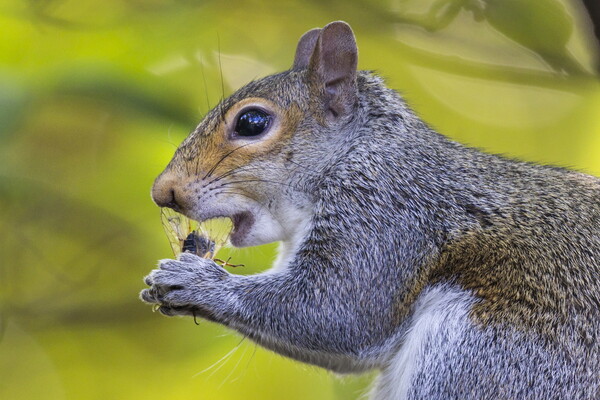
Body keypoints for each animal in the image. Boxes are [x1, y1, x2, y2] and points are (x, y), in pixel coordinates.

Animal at [142, 21, 600, 396]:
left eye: (252, 122)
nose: (163, 192)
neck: (356, 151)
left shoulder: (389, 211)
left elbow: (340, 313)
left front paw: (195, 281)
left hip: (483, 356)